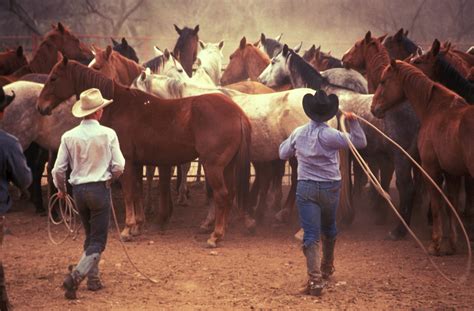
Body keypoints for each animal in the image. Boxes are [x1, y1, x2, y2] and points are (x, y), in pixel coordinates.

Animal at [37, 58, 256, 249]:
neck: (120, 106)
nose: (41, 107)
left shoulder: (126, 161)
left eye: (54, 78)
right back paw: (221, 232)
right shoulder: (137, 163)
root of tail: (238, 113)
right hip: (227, 167)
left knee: (222, 195)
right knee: (230, 195)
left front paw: (127, 229)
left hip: (213, 167)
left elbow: (129, 193)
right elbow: (137, 192)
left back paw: (214, 236)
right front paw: (138, 226)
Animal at [372, 59, 472, 258]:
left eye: (383, 81)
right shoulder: (452, 173)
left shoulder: (431, 168)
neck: (435, 109)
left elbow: (436, 204)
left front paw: (436, 244)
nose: (374, 108)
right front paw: (452, 243)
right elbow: (452, 205)